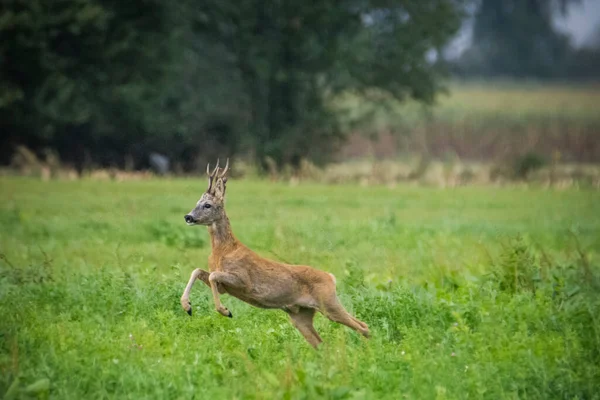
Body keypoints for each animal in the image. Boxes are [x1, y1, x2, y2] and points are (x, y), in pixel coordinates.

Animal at [182, 159, 370, 346]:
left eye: (208, 205)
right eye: (197, 202)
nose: (188, 217)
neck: (224, 250)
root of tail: (331, 277)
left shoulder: (243, 280)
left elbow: (213, 275)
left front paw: (225, 311)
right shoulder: (223, 288)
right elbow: (198, 271)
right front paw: (187, 306)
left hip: (328, 302)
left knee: (363, 326)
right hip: (301, 314)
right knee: (320, 341)